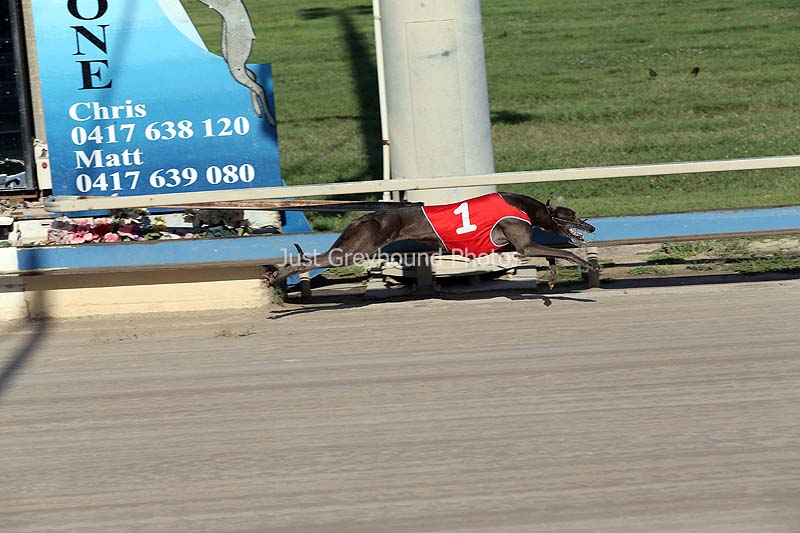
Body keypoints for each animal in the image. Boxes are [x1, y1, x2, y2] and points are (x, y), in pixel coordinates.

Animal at [264, 192, 598, 289]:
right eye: (572, 215)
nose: (592, 227)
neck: (523, 205)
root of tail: (362, 217)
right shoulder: (522, 241)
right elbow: (565, 252)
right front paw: (588, 265)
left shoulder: (515, 245)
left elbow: (554, 253)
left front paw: (552, 278)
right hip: (355, 248)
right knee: (310, 260)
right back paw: (278, 274)